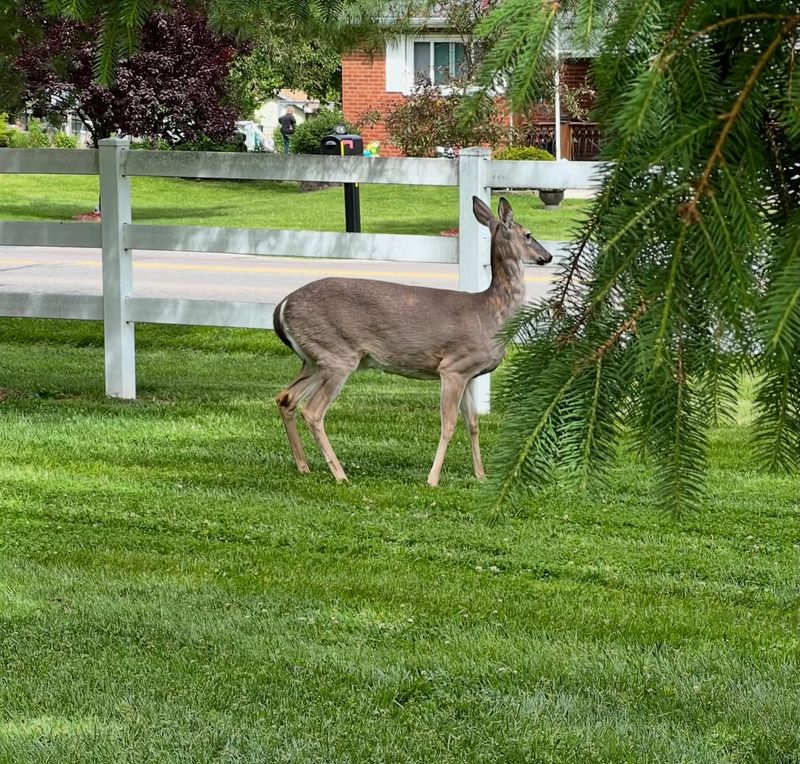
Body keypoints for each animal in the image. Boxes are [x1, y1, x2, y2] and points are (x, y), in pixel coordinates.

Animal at [272, 196, 552, 486]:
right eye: (528, 234)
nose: (548, 256)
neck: (492, 314)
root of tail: (281, 307)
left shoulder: (470, 374)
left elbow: (473, 423)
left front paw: (481, 475)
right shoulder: (454, 366)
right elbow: (449, 424)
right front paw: (433, 479)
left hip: (315, 359)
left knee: (285, 397)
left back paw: (304, 466)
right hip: (337, 354)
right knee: (312, 411)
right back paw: (340, 474)